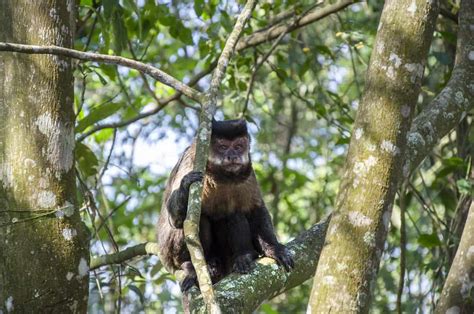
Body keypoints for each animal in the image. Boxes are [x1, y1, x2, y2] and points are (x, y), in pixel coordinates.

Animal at [157, 119, 294, 290]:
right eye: (222, 147)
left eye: (238, 146)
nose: (232, 156)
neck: (221, 175)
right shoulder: (191, 161)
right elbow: (174, 219)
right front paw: (185, 186)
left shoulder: (249, 173)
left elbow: (255, 210)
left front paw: (274, 249)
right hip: (171, 256)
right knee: (195, 221)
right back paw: (194, 267)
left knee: (235, 215)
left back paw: (245, 256)